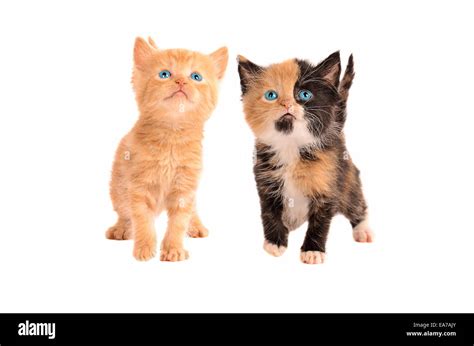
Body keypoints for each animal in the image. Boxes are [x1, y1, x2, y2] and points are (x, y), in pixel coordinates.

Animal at [106, 36, 229, 260]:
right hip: (118, 186)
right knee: (124, 211)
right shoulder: (139, 185)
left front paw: (173, 249)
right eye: (165, 74)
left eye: (196, 76)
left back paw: (196, 225)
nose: (181, 81)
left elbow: (179, 222)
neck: (172, 134)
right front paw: (144, 248)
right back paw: (121, 228)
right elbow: (142, 219)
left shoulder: (185, 185)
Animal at [237, 51, 374, 264]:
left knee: (355, 200)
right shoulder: (266, 181)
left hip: (347, 177)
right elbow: (269, 212)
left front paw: (312, 250)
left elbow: (320, 222)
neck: (291, 145)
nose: (287, 104)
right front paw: (275, 242)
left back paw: (363, 229)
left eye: (304, 95)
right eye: (271, 95)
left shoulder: (327, 183)